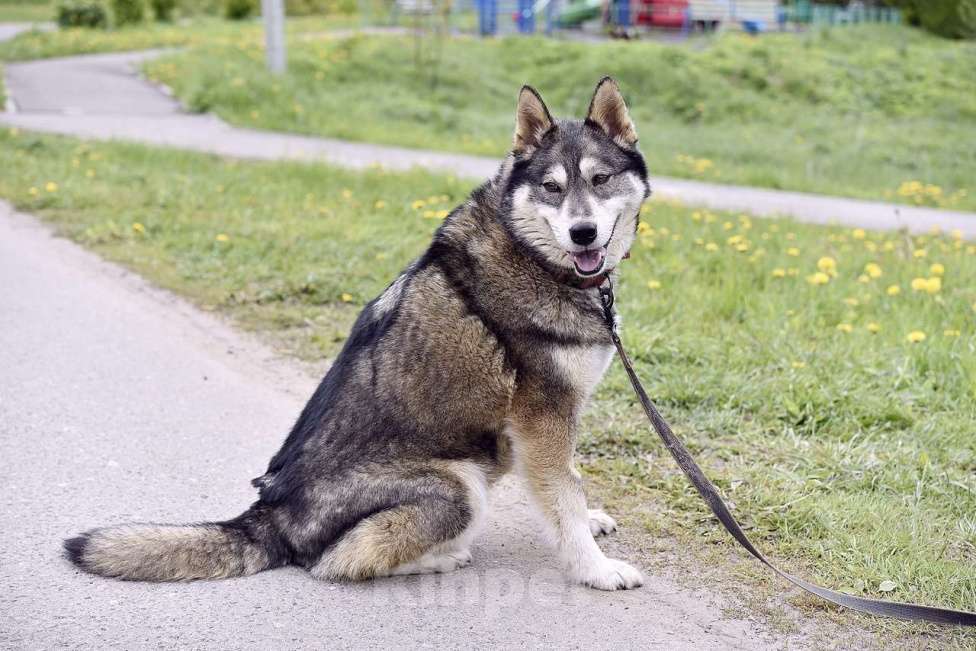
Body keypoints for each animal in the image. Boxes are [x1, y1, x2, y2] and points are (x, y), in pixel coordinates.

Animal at [65, 76, 652, 592]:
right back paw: (440, 558)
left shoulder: (551, 422)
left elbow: (567, 484)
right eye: (551, 188)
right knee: (340, 561)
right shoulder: (542, 417)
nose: (583, 233)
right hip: (458, 485)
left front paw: (591, 520)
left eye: (600, 180)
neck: (531, 253)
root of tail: (270, 514)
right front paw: (595, 569)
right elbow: (562, 496)